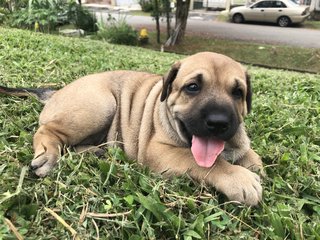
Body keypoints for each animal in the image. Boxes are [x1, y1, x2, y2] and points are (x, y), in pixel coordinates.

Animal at [0, 52, 262, 204]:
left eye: (238, 93)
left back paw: (95, 151)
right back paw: (48, 156)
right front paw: (239, 178)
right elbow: (203, 162)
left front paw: (251, 162)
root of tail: (55, 92)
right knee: (48, 131)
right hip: (101, 103)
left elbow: (249, 154)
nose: (219, 122)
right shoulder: (159, 152)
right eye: (193, 87)